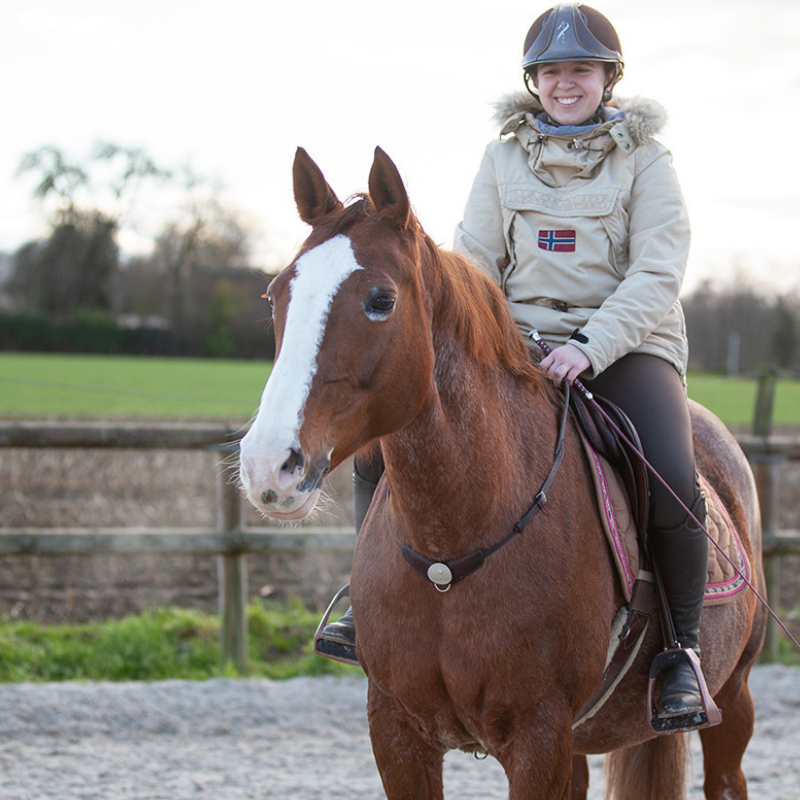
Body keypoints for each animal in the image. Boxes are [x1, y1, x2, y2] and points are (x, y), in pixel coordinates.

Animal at [238, 146, 767, 800]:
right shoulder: (396, 730)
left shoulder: (538, 737)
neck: (454, 545)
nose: (268, 463)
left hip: (732, 699)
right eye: (274, 295)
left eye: (381, 299)